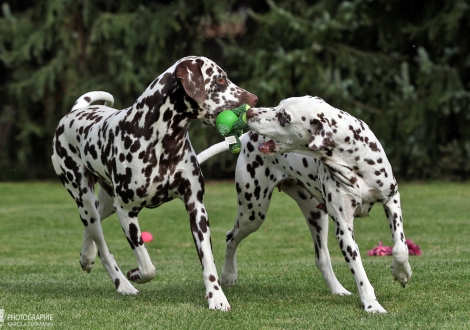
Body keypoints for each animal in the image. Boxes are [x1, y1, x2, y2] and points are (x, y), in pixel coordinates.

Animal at [50, 55, 260, 310]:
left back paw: (86, 257)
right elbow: (147, 266)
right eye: (220, 79)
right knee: (103, 248)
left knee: (93, 232)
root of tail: (75, 112)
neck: (162, 141)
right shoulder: (127, 212)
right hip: (85, 200)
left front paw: (216, 297)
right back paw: (123, 284)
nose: (254, 99)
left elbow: (208, 262)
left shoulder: (197, 209)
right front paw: (135, 274)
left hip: (105, 205)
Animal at [239, 95, 412, 312]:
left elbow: (400, 247)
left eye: (284, 117)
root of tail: (245, 138)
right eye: (279, 104)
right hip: (252, 215)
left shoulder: (391, 198)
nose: (249, 112)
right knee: (230, 239)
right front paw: (372, 305)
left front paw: (401, 273)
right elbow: (360, 274)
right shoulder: (344, 230)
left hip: (316, 216)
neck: (351, 158)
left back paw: (338, 290)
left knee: (322, 259)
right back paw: (228, 277)